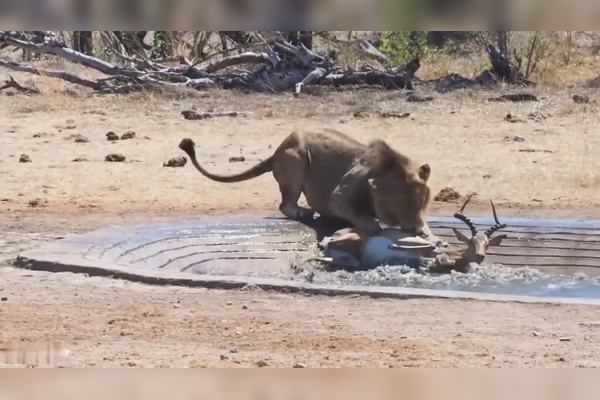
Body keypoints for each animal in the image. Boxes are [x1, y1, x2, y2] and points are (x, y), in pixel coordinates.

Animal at [179, 129, 436, 238]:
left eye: (421, 202)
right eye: (398, 206)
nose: (415, 228)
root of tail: (278, 150)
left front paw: (427, 230)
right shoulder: (339, 194)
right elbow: (357, 213)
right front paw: (373, 225)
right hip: (296, 159)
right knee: (285, 205)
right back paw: (304, 213)